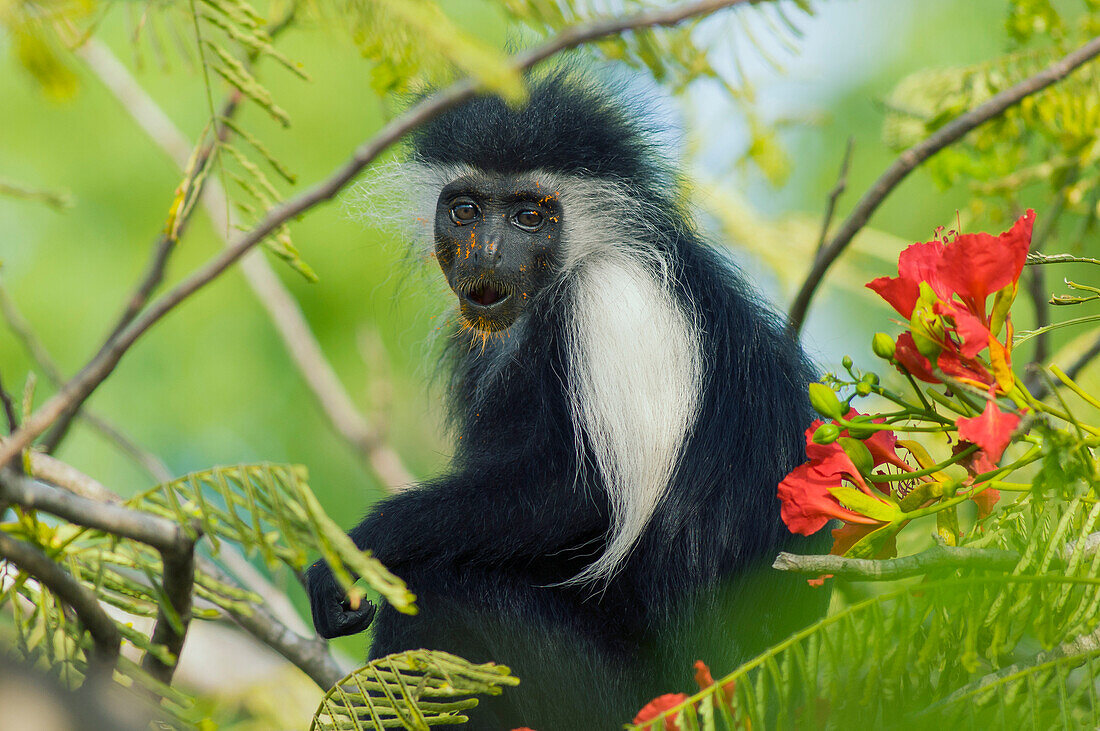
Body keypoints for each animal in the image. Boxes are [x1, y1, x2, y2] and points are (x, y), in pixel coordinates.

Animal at [308, 71, 827, 725]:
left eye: (530, 216)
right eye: (465, 210)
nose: (487, 253)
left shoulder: (613, 298)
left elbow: (581, 497)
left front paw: (360, 545)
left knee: (449, 588)